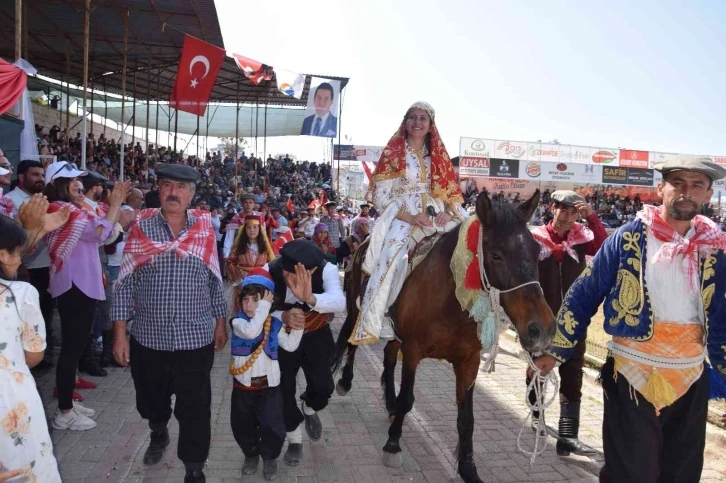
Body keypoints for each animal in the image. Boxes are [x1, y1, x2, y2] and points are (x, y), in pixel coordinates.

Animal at [334, 190, 556, 483]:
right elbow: (408, 399)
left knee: (389, 355)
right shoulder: (413, 351)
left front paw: (468, 468)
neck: (450, 299)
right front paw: (392, 444)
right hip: (357, 310)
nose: (542, 329)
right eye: (496, 255)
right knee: (352, 342)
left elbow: (466, 419)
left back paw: (389, 402)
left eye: (536, 251)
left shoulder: (469, 362)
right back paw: (345, 381)